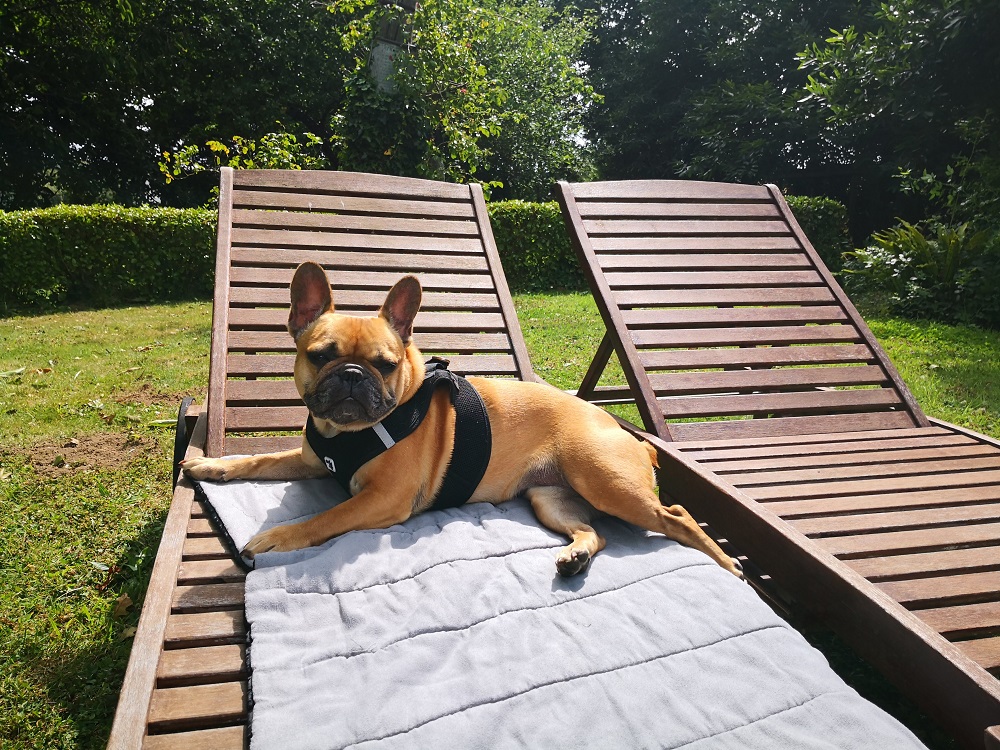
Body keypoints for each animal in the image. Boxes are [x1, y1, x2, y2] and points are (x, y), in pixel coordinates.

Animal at [182, 262, 744, 580]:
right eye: (321, 356)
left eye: (386, 364)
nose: (352, 376)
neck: (345, 436)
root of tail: (629, 434)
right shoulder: (311, 460)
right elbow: (256, 460)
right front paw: (212, 466)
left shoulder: (381, 502)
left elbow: (324, 518)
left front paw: (277, 537)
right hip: (550, 498)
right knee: (596, 532)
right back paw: (577, 557)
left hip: (604, 480)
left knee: (676, 515)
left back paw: (725, 563)